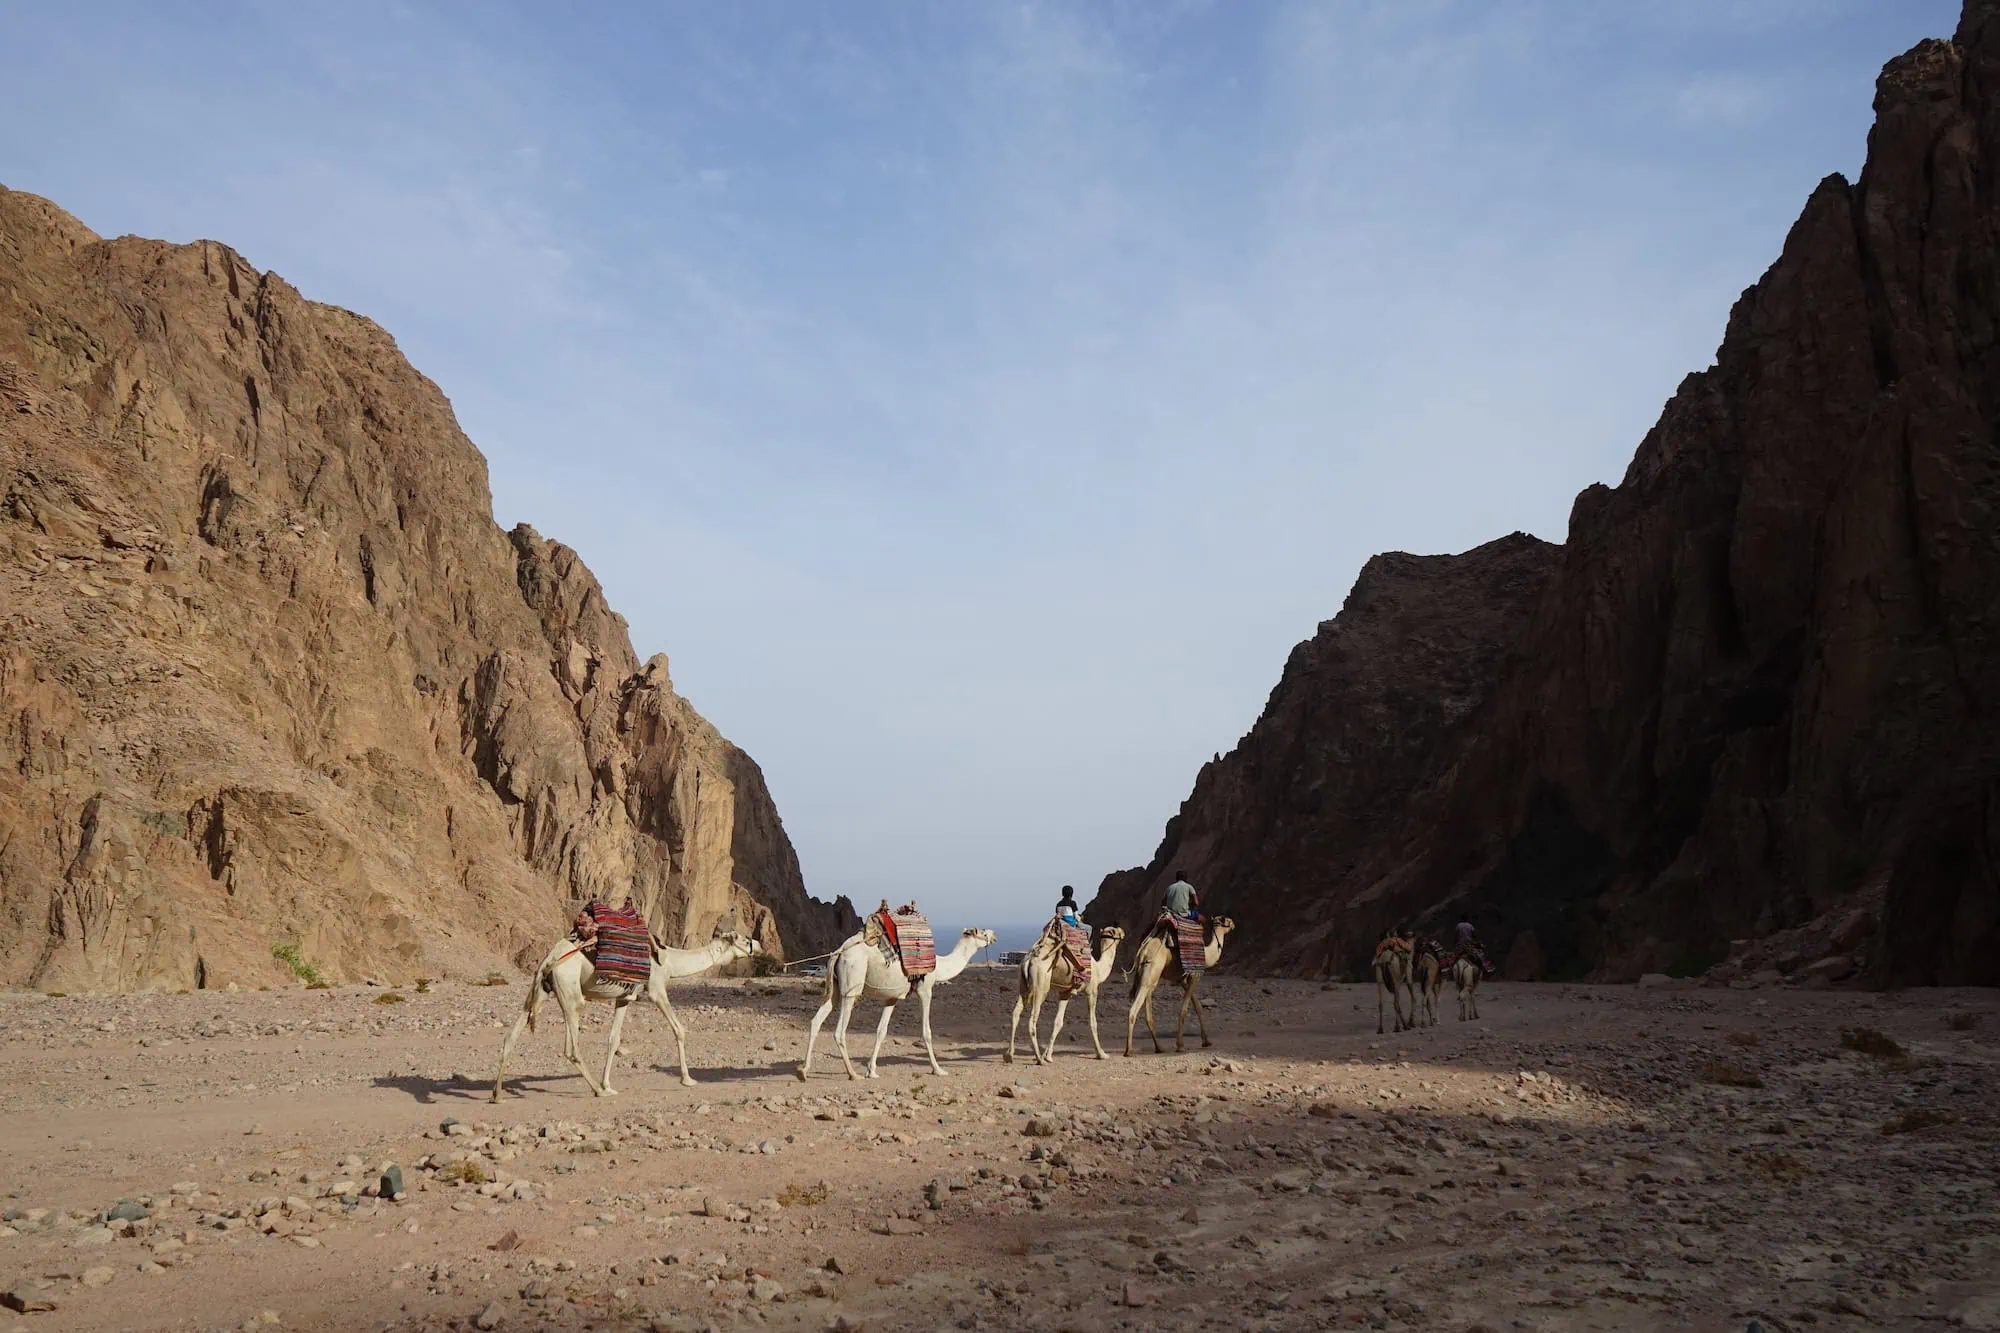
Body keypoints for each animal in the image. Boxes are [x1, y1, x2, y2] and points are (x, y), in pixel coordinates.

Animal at [492, 928, 761, 1102]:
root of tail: (548, 960)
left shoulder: (624, 998)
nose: (758, 944)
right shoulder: (656, 989)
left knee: (510, 1038)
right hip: (570, 993)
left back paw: (497, 1094)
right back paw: (596, 1091)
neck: (669, 961)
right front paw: (687, 1079)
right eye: (744, 938)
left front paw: (608, 1084)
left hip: (541, 990)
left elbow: (613, 1040)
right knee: (571, 1048)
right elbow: (679, 1029)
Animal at [798, 926, 997, 1080]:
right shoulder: (925, 989)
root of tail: (839, 951)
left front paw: (872, 1071)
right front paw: (938, 1069)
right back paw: (852, 1074)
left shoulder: (892, 998)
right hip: (851, 986)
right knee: (839, 1031)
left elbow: (881, 1031)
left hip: (836, 988)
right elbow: (926, 1032)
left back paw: (803, 1070)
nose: (994, 935)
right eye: (982, 932)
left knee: (816, 1021)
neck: (940, 966)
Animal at [1005, 925, 1125, 1064]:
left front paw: (1048, 1055)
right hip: (1040, 985)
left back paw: (1009, 1055)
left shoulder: (1065, 993)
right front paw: (1101, 1054)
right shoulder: (1092, 990)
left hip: (1023, 985)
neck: (1099, 969)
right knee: (1032, 1020)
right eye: (1116, 931)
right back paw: (1039, 1059)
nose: (1123, 931)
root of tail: (1029, 959)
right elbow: (1093, 1022)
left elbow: (1058, 1022)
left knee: (1015, 1013)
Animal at [1124, 916, 1236, 1056]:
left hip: (1149, 975)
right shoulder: (1195, 975)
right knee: (1135, 1007)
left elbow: (1198, 1007)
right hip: (1151, 971)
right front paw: (1180, 1046)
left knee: (1148, 1007)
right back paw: (1128, 1050)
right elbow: (1184, 1009)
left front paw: (1206, 1041)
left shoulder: (1182, 980)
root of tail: (1142, 952)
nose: (1234, 925)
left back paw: (1159, 1048)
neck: (1206, 954)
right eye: (1228, 921)